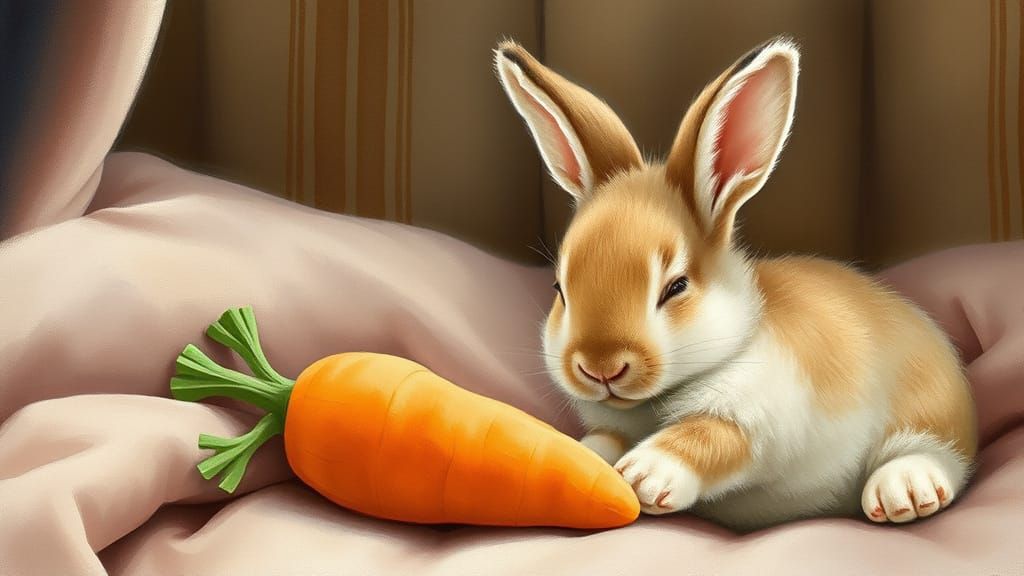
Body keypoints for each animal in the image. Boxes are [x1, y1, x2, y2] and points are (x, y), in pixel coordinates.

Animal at [494, 37, 978, 532]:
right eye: (560, 289)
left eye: (676, 287)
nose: (600, 367)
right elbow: (604, 439)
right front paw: (584, 454)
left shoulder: (762, 413)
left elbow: (713, 435)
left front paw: (646, 474)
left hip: (927, 408)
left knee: (936, 453)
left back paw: (905, 490)